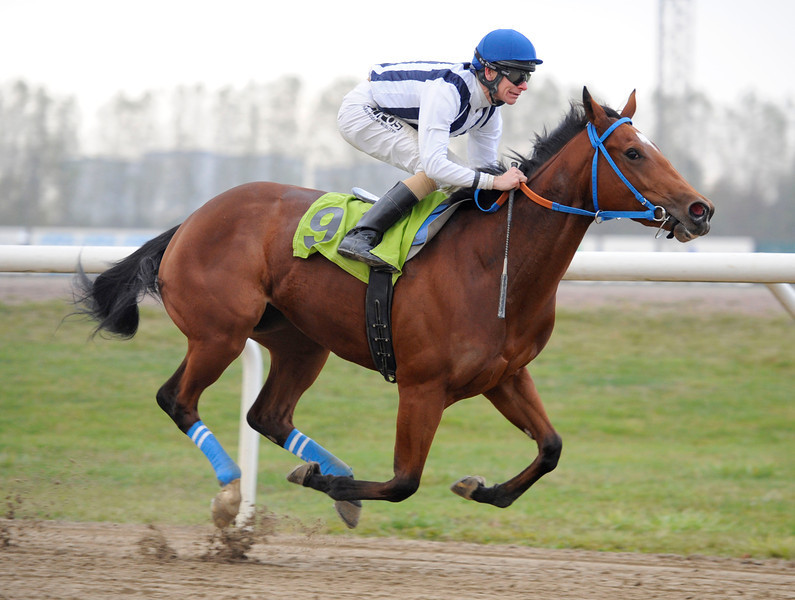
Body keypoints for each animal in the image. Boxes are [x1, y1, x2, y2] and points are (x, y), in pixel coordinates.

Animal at [74, 86, 716, 528]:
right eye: (633, 153)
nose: (700, 209)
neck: (493, 263)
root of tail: (192, 219)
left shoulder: (504, 375)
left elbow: (552, 448)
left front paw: (478, 488)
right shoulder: (422, 386)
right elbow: (405, 480)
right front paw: (335, 487)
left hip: (300, 342)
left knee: (268, 416)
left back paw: (321, 466)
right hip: (220, 334)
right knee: (177, 399)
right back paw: (235, 489)